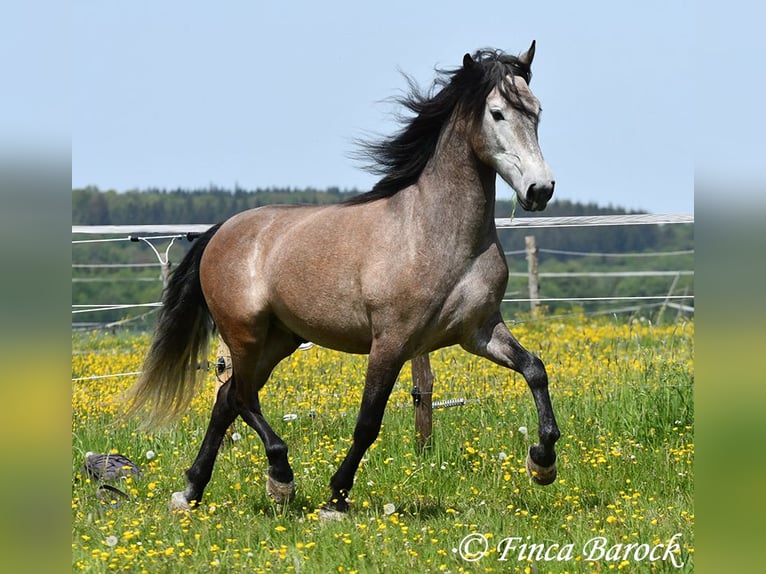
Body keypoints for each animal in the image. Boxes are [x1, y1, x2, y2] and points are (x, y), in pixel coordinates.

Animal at [127, 41, 560, 517]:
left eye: (537, 111)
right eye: (497, 113)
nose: (540, 189)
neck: (436, 235)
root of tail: (222, 230)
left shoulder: (478, 332)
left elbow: (535, 369)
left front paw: (542, 462)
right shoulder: (391, 341)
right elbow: (368, 422)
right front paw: (336, 498)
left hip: (279, 339)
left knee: (228, 401)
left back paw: (191, 491)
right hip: (244, 334)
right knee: (241, 397)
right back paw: (280, 478)